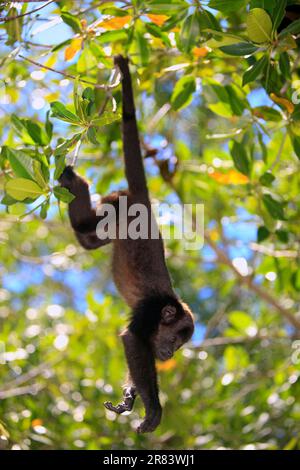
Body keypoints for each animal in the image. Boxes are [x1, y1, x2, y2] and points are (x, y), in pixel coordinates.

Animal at [58, 56, 195, 434]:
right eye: (175, 340)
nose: (171, 354)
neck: (170, 307)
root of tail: (143, 203)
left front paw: (130, 397)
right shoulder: (149, 312)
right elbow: (132, 340)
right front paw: (154, 410)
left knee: (90, 239)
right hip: (118, 207)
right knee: (87, 232)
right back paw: (76, 183)